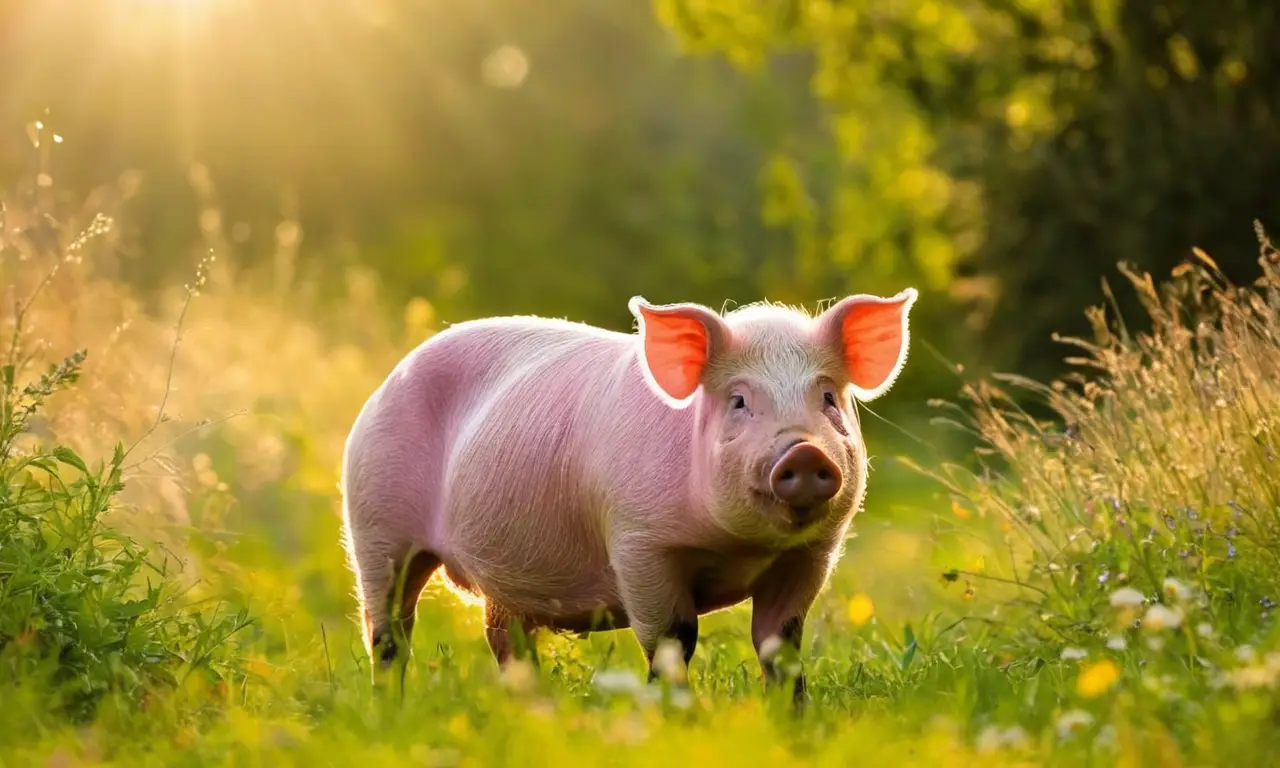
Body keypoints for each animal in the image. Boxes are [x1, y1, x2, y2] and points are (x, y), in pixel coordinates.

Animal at [340, 288, 917, 701]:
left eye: (828, 398)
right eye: (738, 401)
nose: (804, 453)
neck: (740, 549)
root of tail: (387, 381)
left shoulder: (810, 555)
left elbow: (780, 643)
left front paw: (791, 719)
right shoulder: (640, 544)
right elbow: (673, 640)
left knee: (505, 639)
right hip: (375, 524)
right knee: (388, 630)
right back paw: (390, 709)